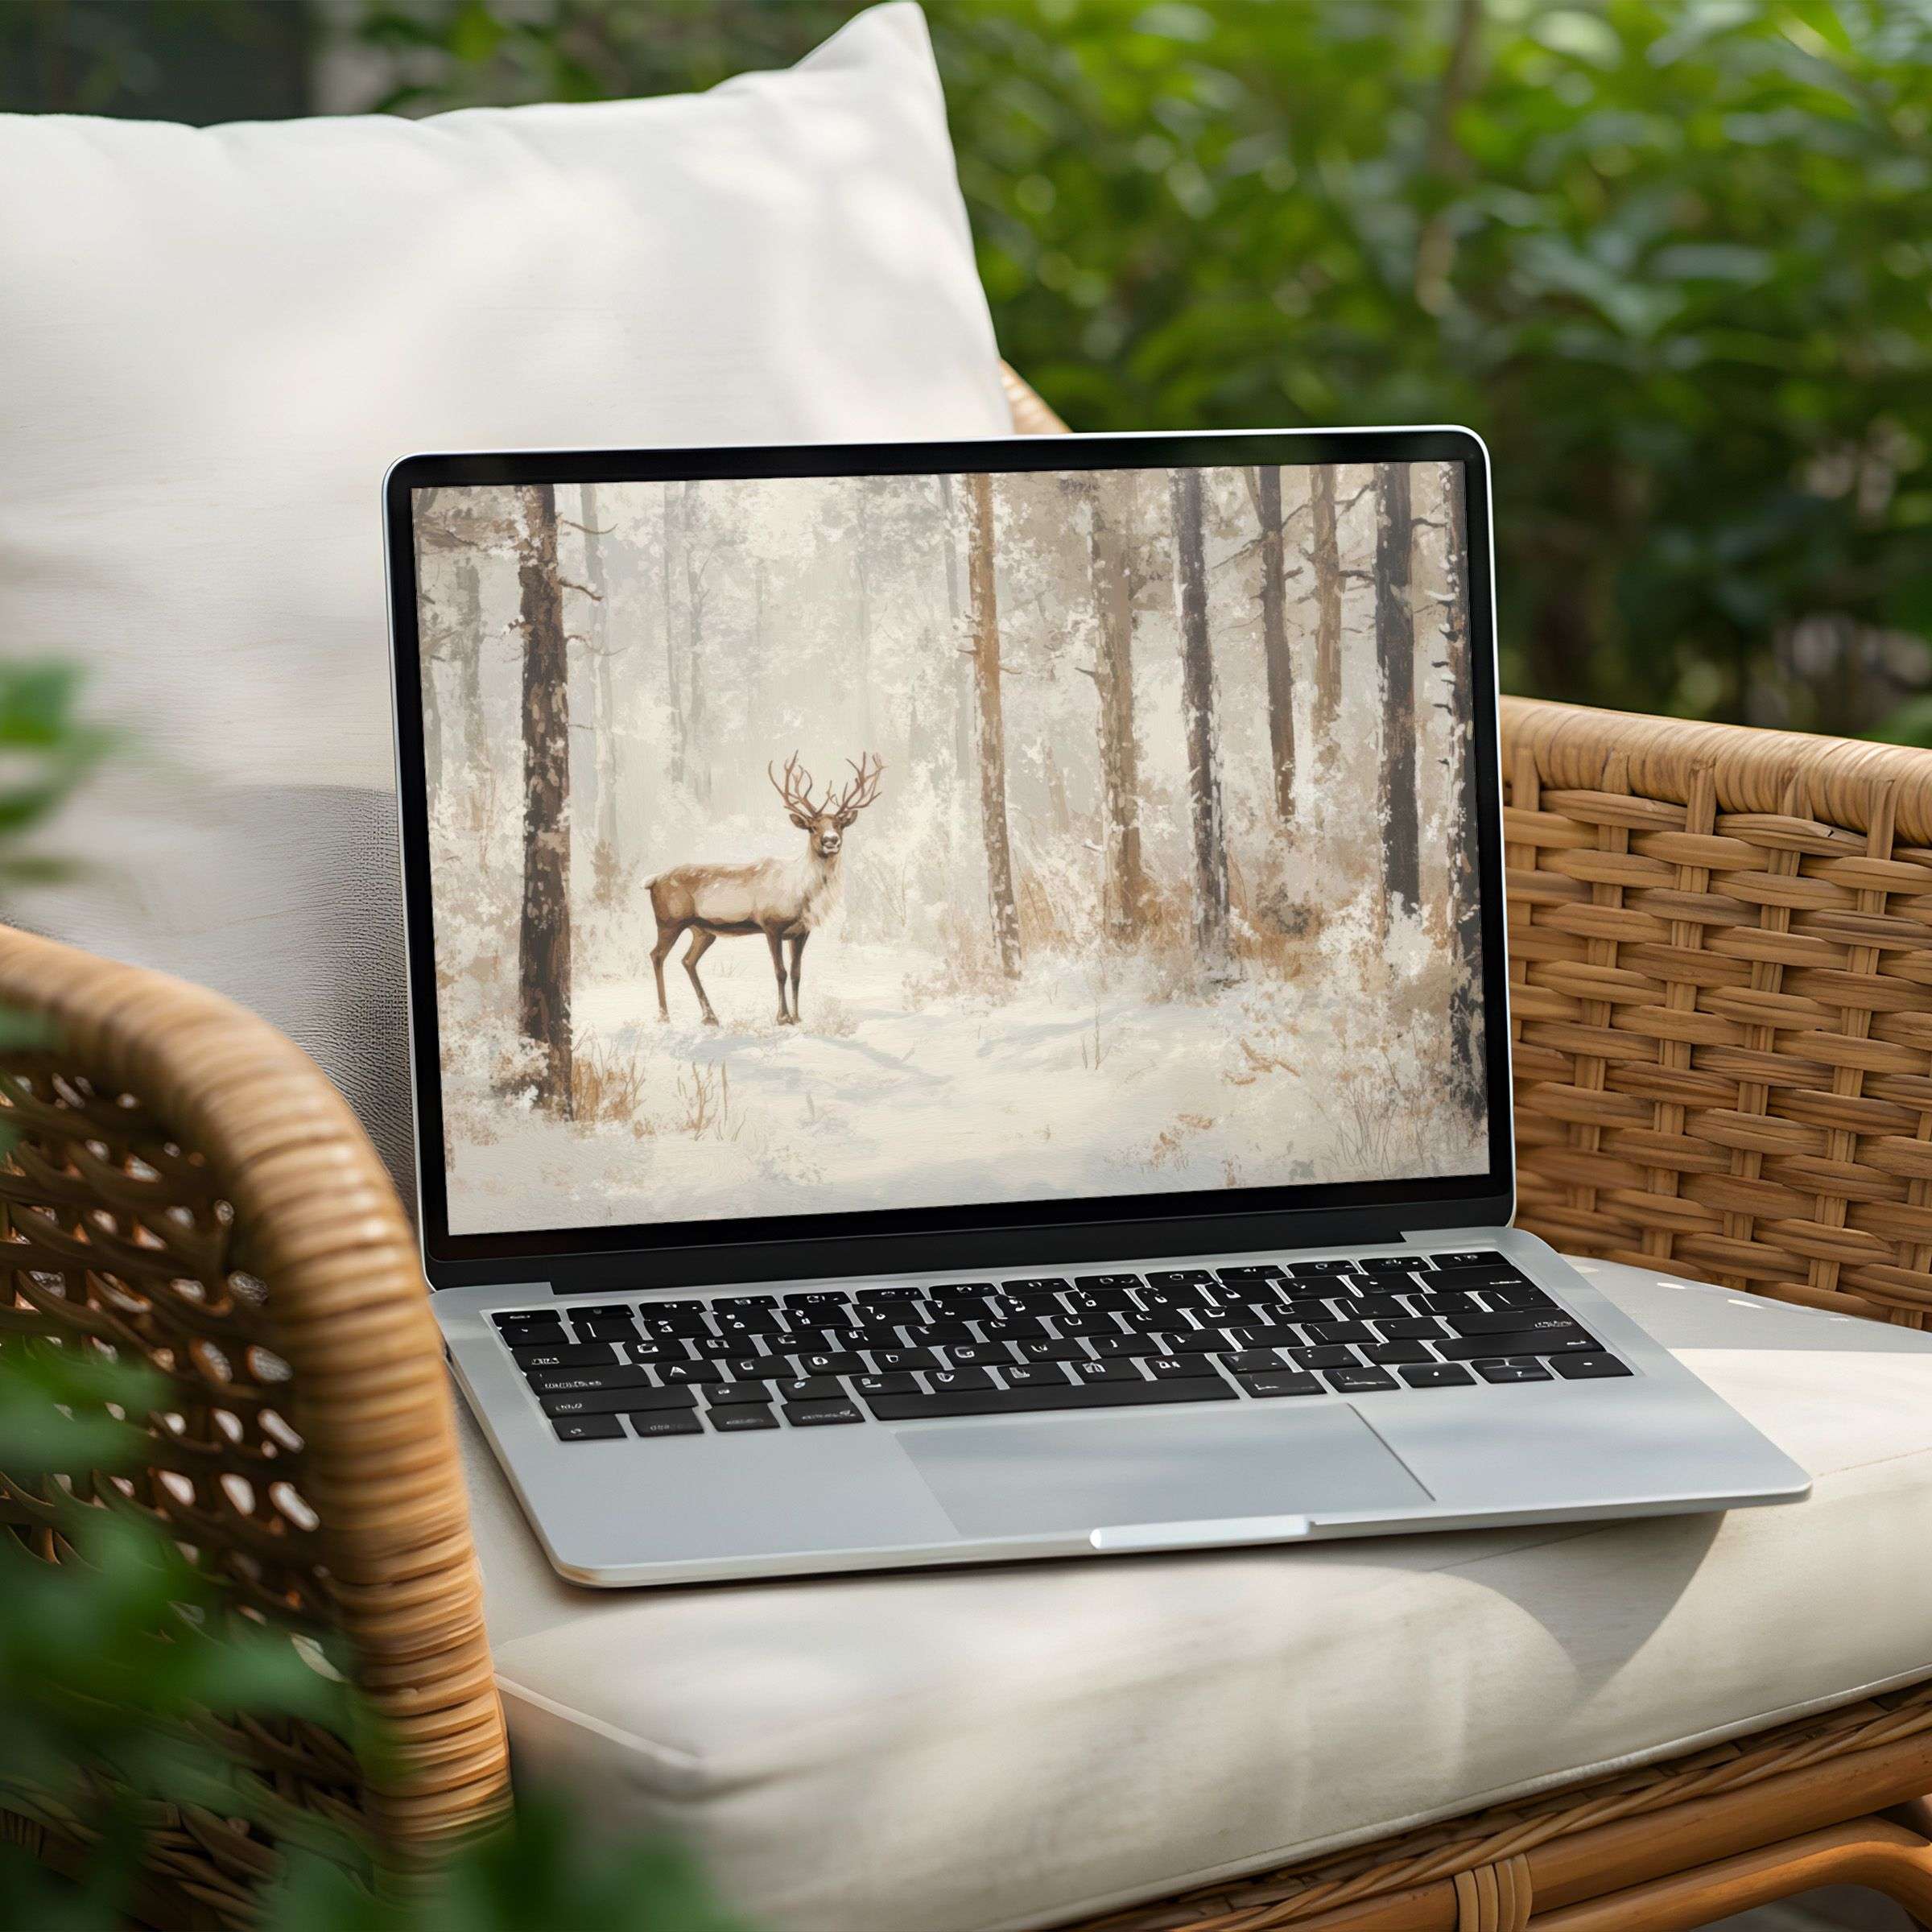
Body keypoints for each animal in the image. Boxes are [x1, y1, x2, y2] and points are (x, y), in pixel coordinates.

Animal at [647, 752, 885, 1028]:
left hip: (702, 931)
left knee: (687, 960)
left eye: (840, 825)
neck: (802, 895)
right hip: (669, 921)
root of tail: (651, 881)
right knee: (656, 955)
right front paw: (782, 1017)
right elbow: (780, 972)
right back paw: (664, 1014)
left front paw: (798, 1016)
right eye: (813, 827)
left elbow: (797, 973)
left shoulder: (801, 932)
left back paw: (710, 1016)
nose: (831, 841)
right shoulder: (771, 924)